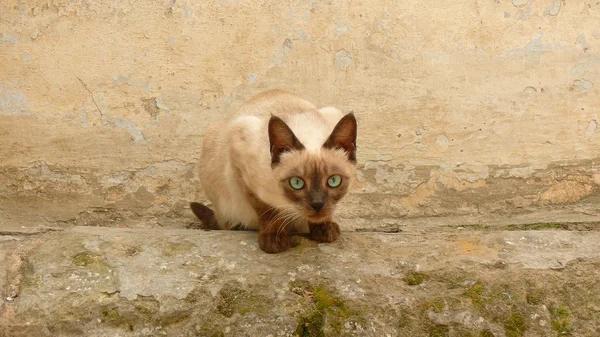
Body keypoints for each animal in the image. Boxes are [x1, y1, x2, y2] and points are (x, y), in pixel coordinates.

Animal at [190, 89, 356, 252]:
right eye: (296, 183)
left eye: (334, 181)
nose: (317, 204)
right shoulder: (240, 163)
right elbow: (268, 211)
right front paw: (274, 241)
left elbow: (326, 214)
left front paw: (324, 229)